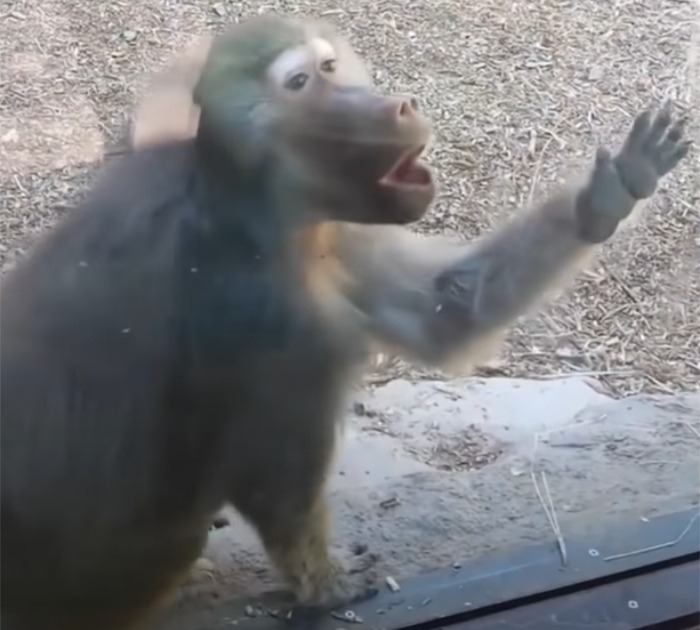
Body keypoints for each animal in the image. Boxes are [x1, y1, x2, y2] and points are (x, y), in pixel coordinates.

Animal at [0, 13, 690, 630]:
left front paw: (608, 195)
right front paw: (324, 586)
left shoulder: (337, 234)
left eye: (329, 67)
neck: (252, 201)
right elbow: (275, 483)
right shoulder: (272, 317)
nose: (396, 105)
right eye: (301, 83)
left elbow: (447, 310)